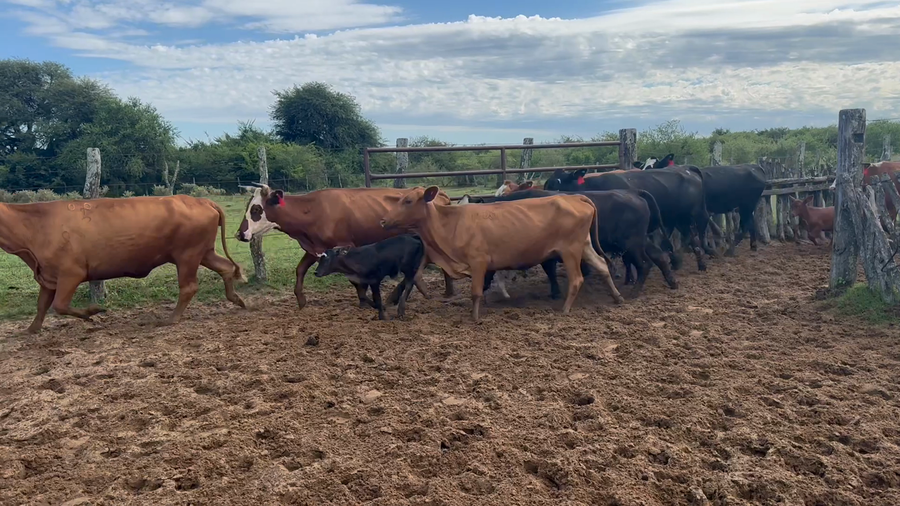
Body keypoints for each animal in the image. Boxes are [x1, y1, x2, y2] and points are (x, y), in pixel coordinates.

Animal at [0, 195, 247, 334]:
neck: (36, 225)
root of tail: (202, 200)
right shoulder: (47, 276)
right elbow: (42, 305)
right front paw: (31, 329)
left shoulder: (71, 274)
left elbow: (59, 305)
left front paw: (93, 311)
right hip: (203, 252)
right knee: (226, 267)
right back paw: (238, 300)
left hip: (187, 256)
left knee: (189, 287)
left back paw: (171, 319)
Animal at [236, 185, 456, 310]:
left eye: (256, 209)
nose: (239, 234)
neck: (313, 210)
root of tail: (441, 194)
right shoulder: (316, 249)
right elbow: (300, 270)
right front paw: (301, 299)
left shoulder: (345, 248)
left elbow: (354, 279)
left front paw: (364, 300)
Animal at [380, 186, 624, 320]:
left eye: (408, 201)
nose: (383, 221)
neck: (451, 222)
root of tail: (574, 197)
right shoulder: (430, 254)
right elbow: (413, 277)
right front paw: (401, 305)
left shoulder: (478, 262)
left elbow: (476, 292)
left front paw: (474, 317)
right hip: (584, 245)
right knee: (602, 266)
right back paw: (617, 297)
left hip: (570, 250)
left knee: (577, 279)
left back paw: (564, 309)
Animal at [470, 188, 679, 298]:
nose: (483, 286)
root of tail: (634, 193)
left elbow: (550, 270)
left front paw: (555, 293)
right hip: (640, 241)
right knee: (660, 257)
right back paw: (672, 282)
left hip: (632, 245)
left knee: (645, 264)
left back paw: (634, 291)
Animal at [544, 166, 713, 272]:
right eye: (547, 184)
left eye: (559, 183)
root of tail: (687, 169)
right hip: (679, 218)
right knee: (691, 238)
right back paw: (691, 263)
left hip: (696, 213)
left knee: (700, 233)